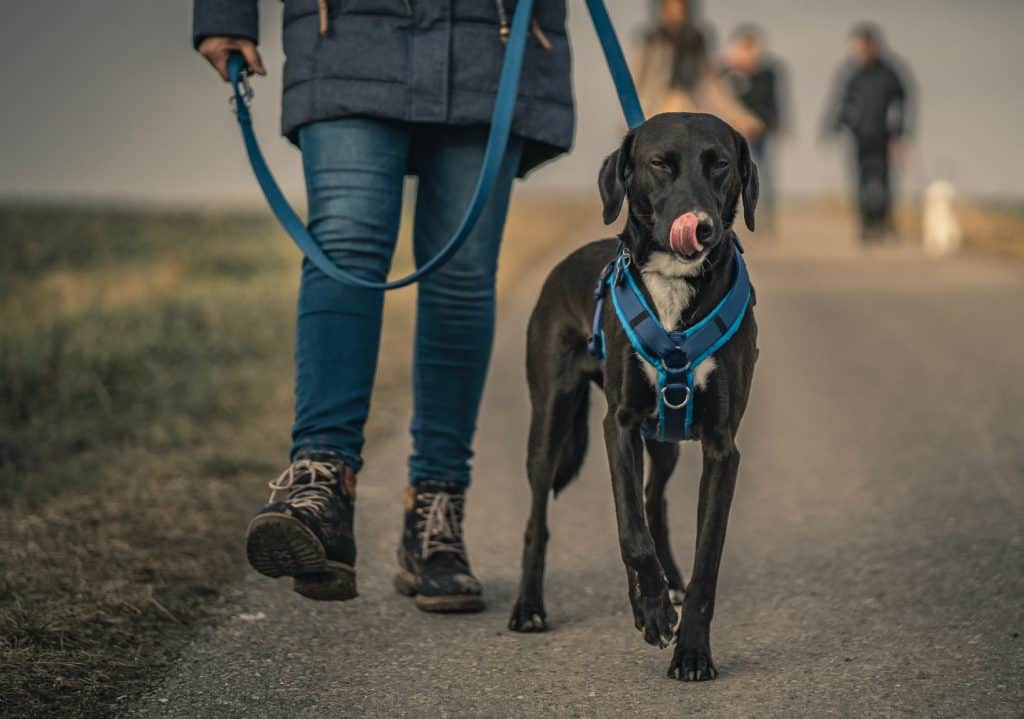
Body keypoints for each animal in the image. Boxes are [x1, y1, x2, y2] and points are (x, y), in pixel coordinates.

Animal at [507, 112, 757, 680]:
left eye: (720, 164)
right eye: (660, 163)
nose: (701, 225)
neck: (674, 284)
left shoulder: (721, 446)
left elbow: (705, 556)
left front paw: (691, 649)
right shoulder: (617, 425)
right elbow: (629, 532)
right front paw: (652, 612)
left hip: (663, 438)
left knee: (652, 497)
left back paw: (668, 584)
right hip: (550, 424)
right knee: (539, 518)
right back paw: (529, 607)